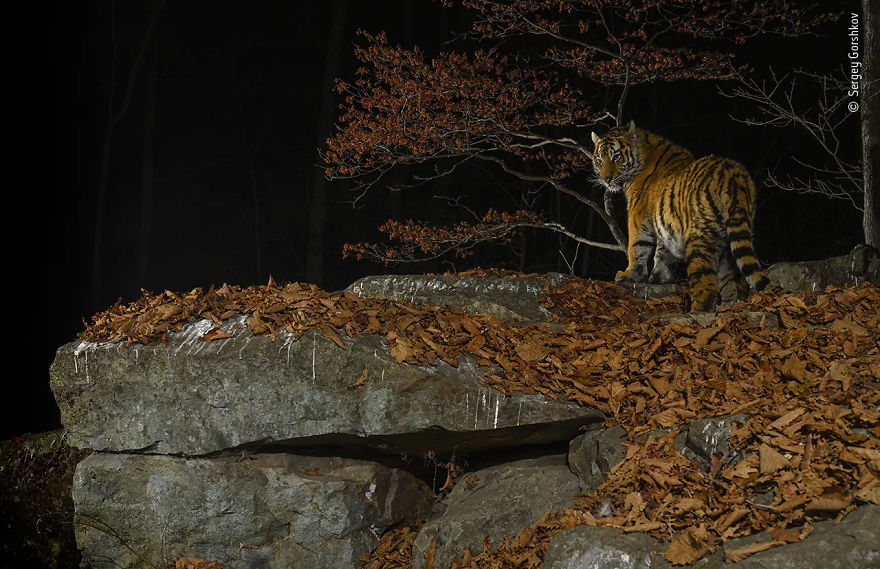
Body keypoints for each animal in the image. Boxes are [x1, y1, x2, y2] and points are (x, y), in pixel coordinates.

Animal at [590, 120, 770, 311]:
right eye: (599, 160)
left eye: (616, 157)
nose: (606, 179)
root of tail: (732, 175)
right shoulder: (664, 220)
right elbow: (662, 252)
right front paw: (660, 277)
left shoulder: (638, 216)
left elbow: (637, 246)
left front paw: (629, 274)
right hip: (732, 236)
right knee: (735, 281)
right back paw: (729, 306)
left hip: (698, 238)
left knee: (707, 286)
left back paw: (697, 311)